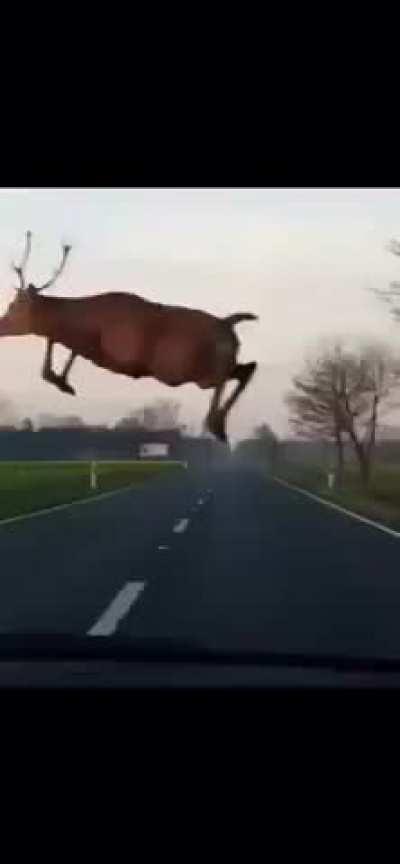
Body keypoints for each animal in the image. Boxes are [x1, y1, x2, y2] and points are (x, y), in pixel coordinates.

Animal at [0, 232, 258, 443]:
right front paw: (62, 382)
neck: (85, 320)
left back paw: (216, 425)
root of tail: (228, 323)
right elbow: (60, 344)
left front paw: (61, 381)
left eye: (14, 306)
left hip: (192, 371)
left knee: (233, 374)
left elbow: (59, 343)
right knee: (246, 368)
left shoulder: (116, 350)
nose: (1, 325)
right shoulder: (91, 348)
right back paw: (219, 426)